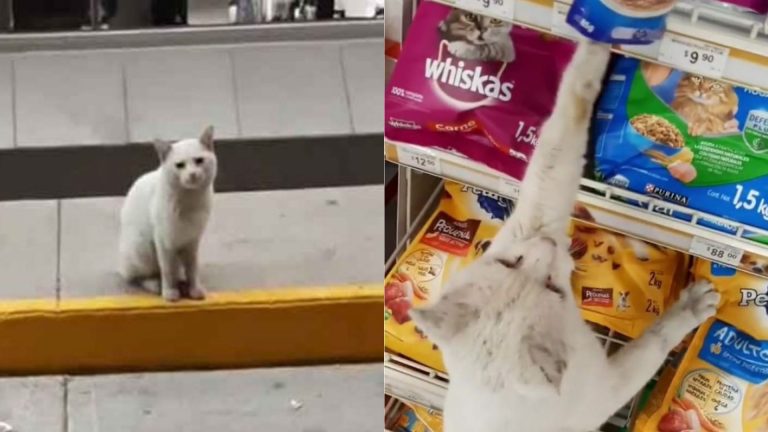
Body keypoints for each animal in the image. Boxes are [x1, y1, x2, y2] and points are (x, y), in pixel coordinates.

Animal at [118, 125, 218, 300]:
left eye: (199, 160)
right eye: (180, 165)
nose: (192, 174)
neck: (189, 200)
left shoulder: (192, 241)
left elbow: (192, 268)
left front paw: (194, 288)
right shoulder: (164, 241)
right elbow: (167, 269)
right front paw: (170, 291)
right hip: (141, 247)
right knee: (138, 276)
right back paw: (154, 284)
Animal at [412, 41, 716, 432]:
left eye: (510, 262)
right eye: (554, 289)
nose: (547, 244)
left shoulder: (532, 217)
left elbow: (562, 131)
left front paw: (595, 43)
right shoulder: (603, 388)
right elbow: (654, 342)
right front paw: (693, 306)